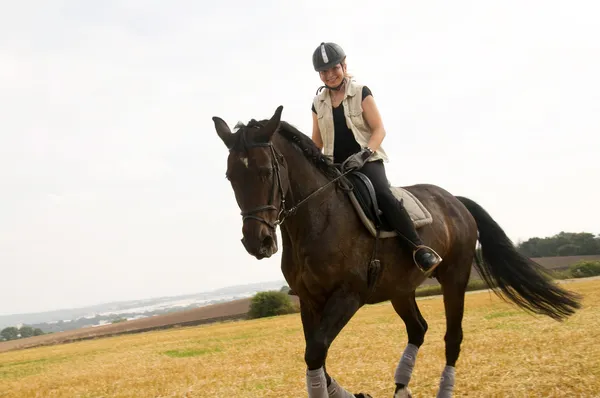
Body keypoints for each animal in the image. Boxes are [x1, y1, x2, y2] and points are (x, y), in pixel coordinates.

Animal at [211, 106, 580, 398]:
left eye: (265, 172)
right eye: (230, 176)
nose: (257, 241)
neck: (317, 217)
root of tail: (455, 200)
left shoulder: (348, 295)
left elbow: (315, 353)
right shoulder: (309, 300)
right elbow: (316, 357)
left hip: (455, 278)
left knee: (453, 338)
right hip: (400, 288)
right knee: (418, 329)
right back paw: (401, 388)